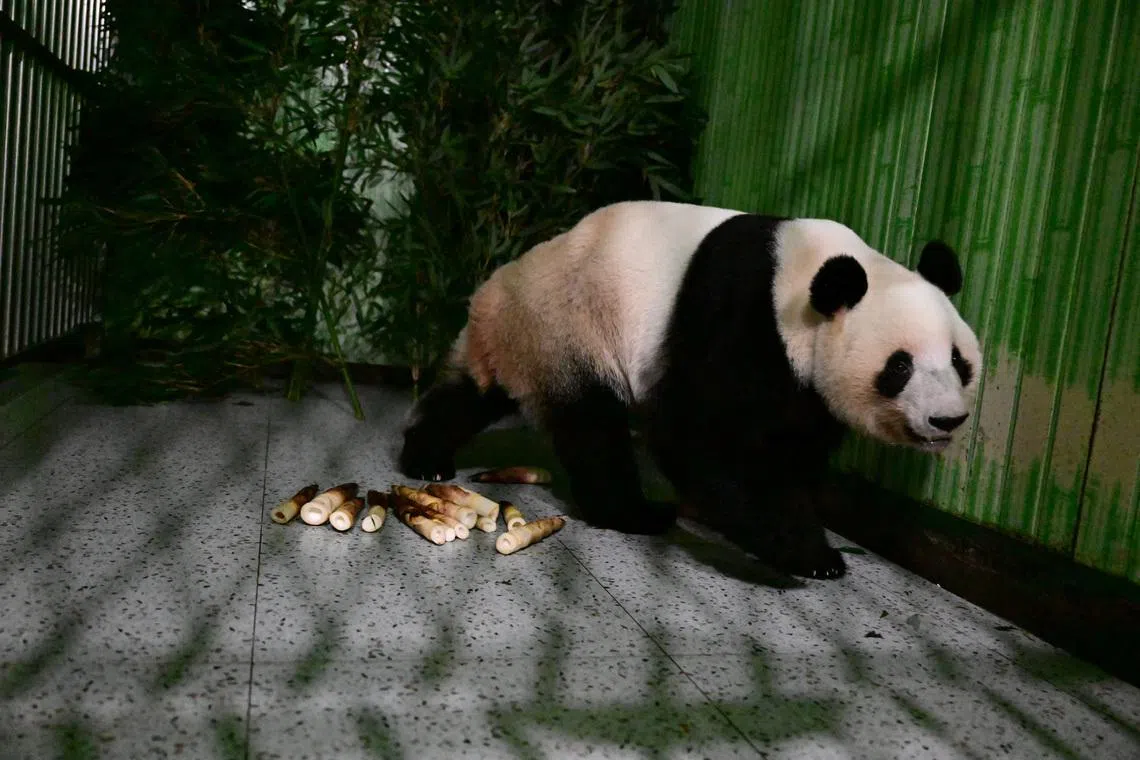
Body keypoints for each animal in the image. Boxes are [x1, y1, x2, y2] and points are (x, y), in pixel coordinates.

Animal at [397, 200, 983, 580]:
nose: (947, 420)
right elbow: (697, 433)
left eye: (960, 361)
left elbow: (793, 445)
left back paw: (426, 457)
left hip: (523, 342)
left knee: (471, 396)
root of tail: (495, 290)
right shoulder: (738, 313)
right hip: (567, 327)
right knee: (593, 428)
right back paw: (636, 512)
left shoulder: (804, 383)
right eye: (899, 366)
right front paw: (805, 551)